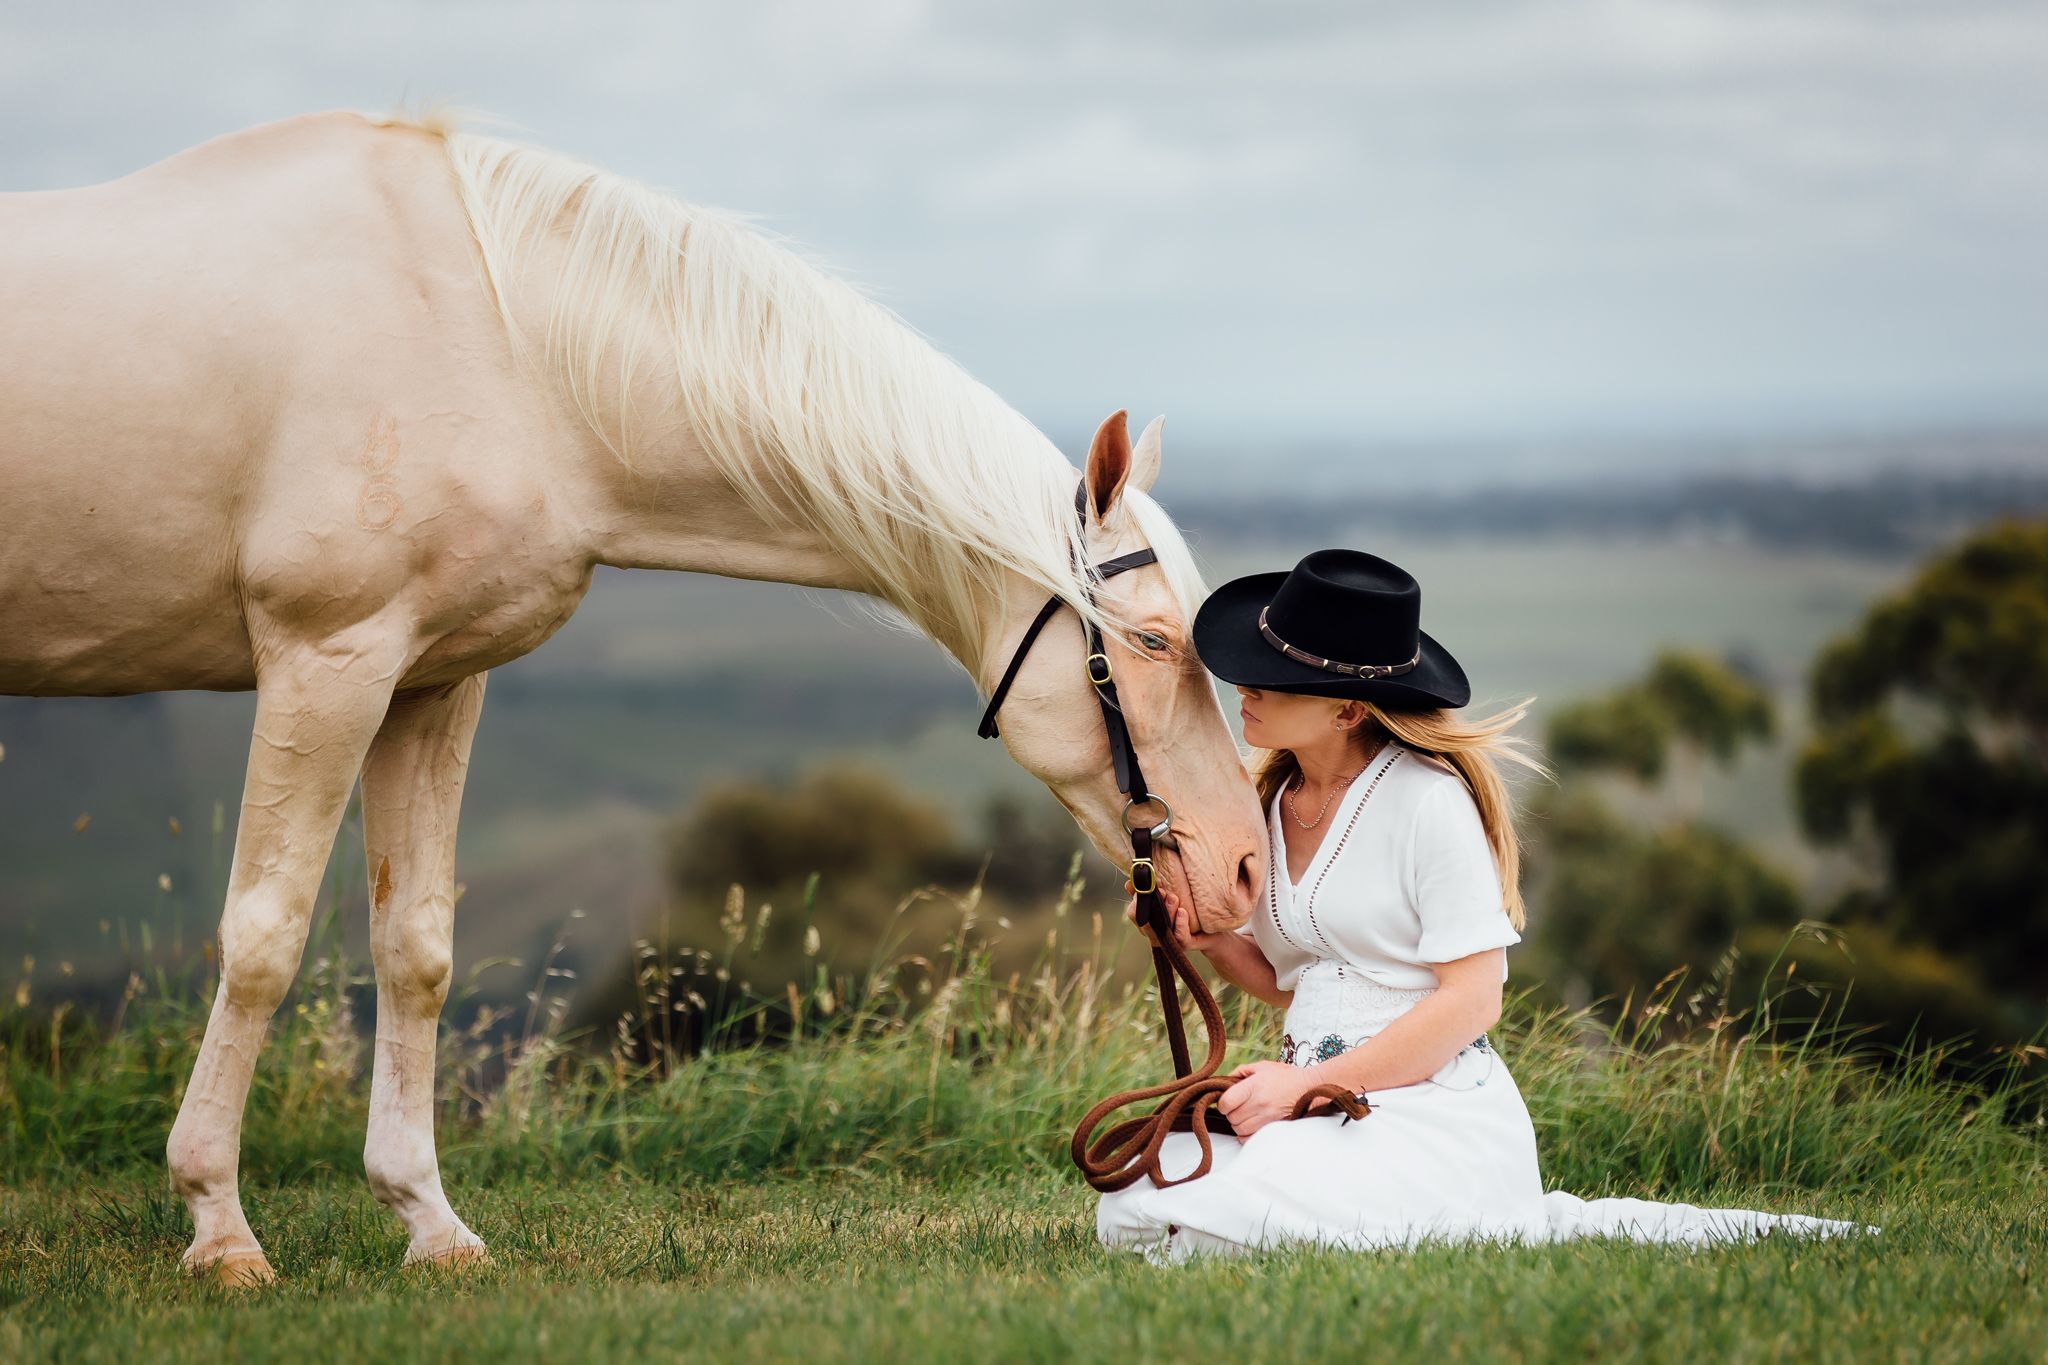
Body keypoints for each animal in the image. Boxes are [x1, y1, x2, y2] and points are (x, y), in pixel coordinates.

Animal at [0, 110, 1268, 1284]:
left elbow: (416, 946)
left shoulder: (430, 680)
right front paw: (220, 1230)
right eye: (1151, 641)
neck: (502, 345)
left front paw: (429, 1223)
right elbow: (262, 937)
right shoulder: (328, 658)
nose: (1247, 866)